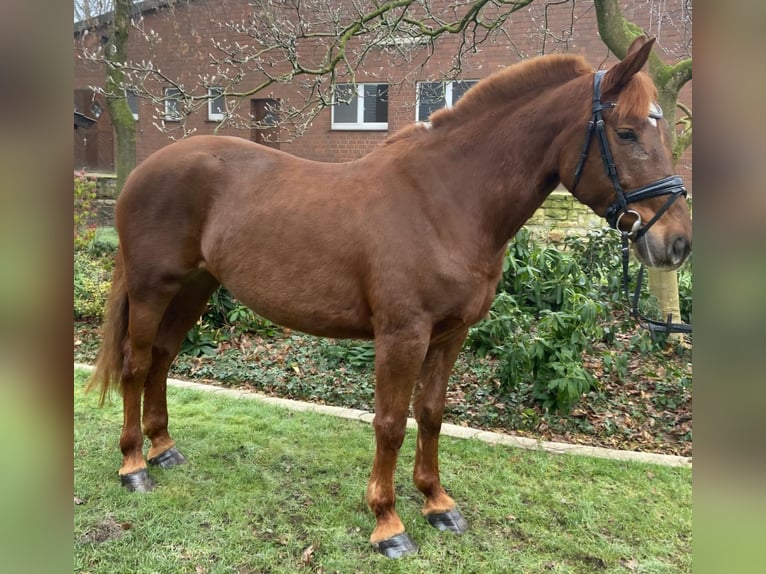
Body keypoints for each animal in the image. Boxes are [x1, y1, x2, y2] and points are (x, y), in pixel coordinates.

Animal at [88, 36, 688, 560]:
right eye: (627, 133)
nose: (676, 242)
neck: (443, 201)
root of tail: (141, 172)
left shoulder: (451, 333)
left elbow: (430, 413)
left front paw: (437, 503)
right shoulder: (403, 335)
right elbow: (391, 423)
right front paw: (388, 524)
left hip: (194, 288)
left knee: (163, 359)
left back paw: (164, 449)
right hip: (152, 288)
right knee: (137, 364)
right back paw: (134, 466)